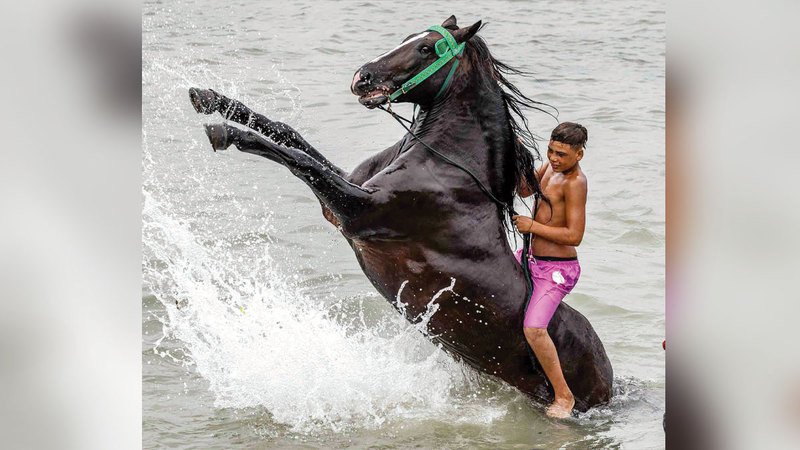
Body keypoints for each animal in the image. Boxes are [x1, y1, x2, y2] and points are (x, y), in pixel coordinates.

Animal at [188, 15, 613, 412]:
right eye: (409, 37)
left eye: (426, 49)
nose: (361, 77)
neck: (449, 164)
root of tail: (611, 384)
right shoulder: (346, 194)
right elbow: (290, 136)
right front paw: (210, 98)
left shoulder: (358, 211)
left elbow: (298, 159)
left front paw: (225, 133)